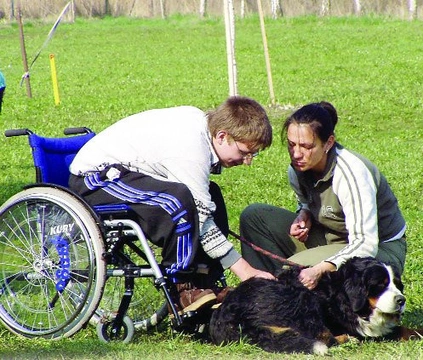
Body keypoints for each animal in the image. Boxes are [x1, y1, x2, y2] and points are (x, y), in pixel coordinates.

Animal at [210, 258, 423, 356]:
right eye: (380, 285)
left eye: (397, 284)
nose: (401, 300)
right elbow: (396, 331)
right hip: (301, 300)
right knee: (325, 338)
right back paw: (346, 339)